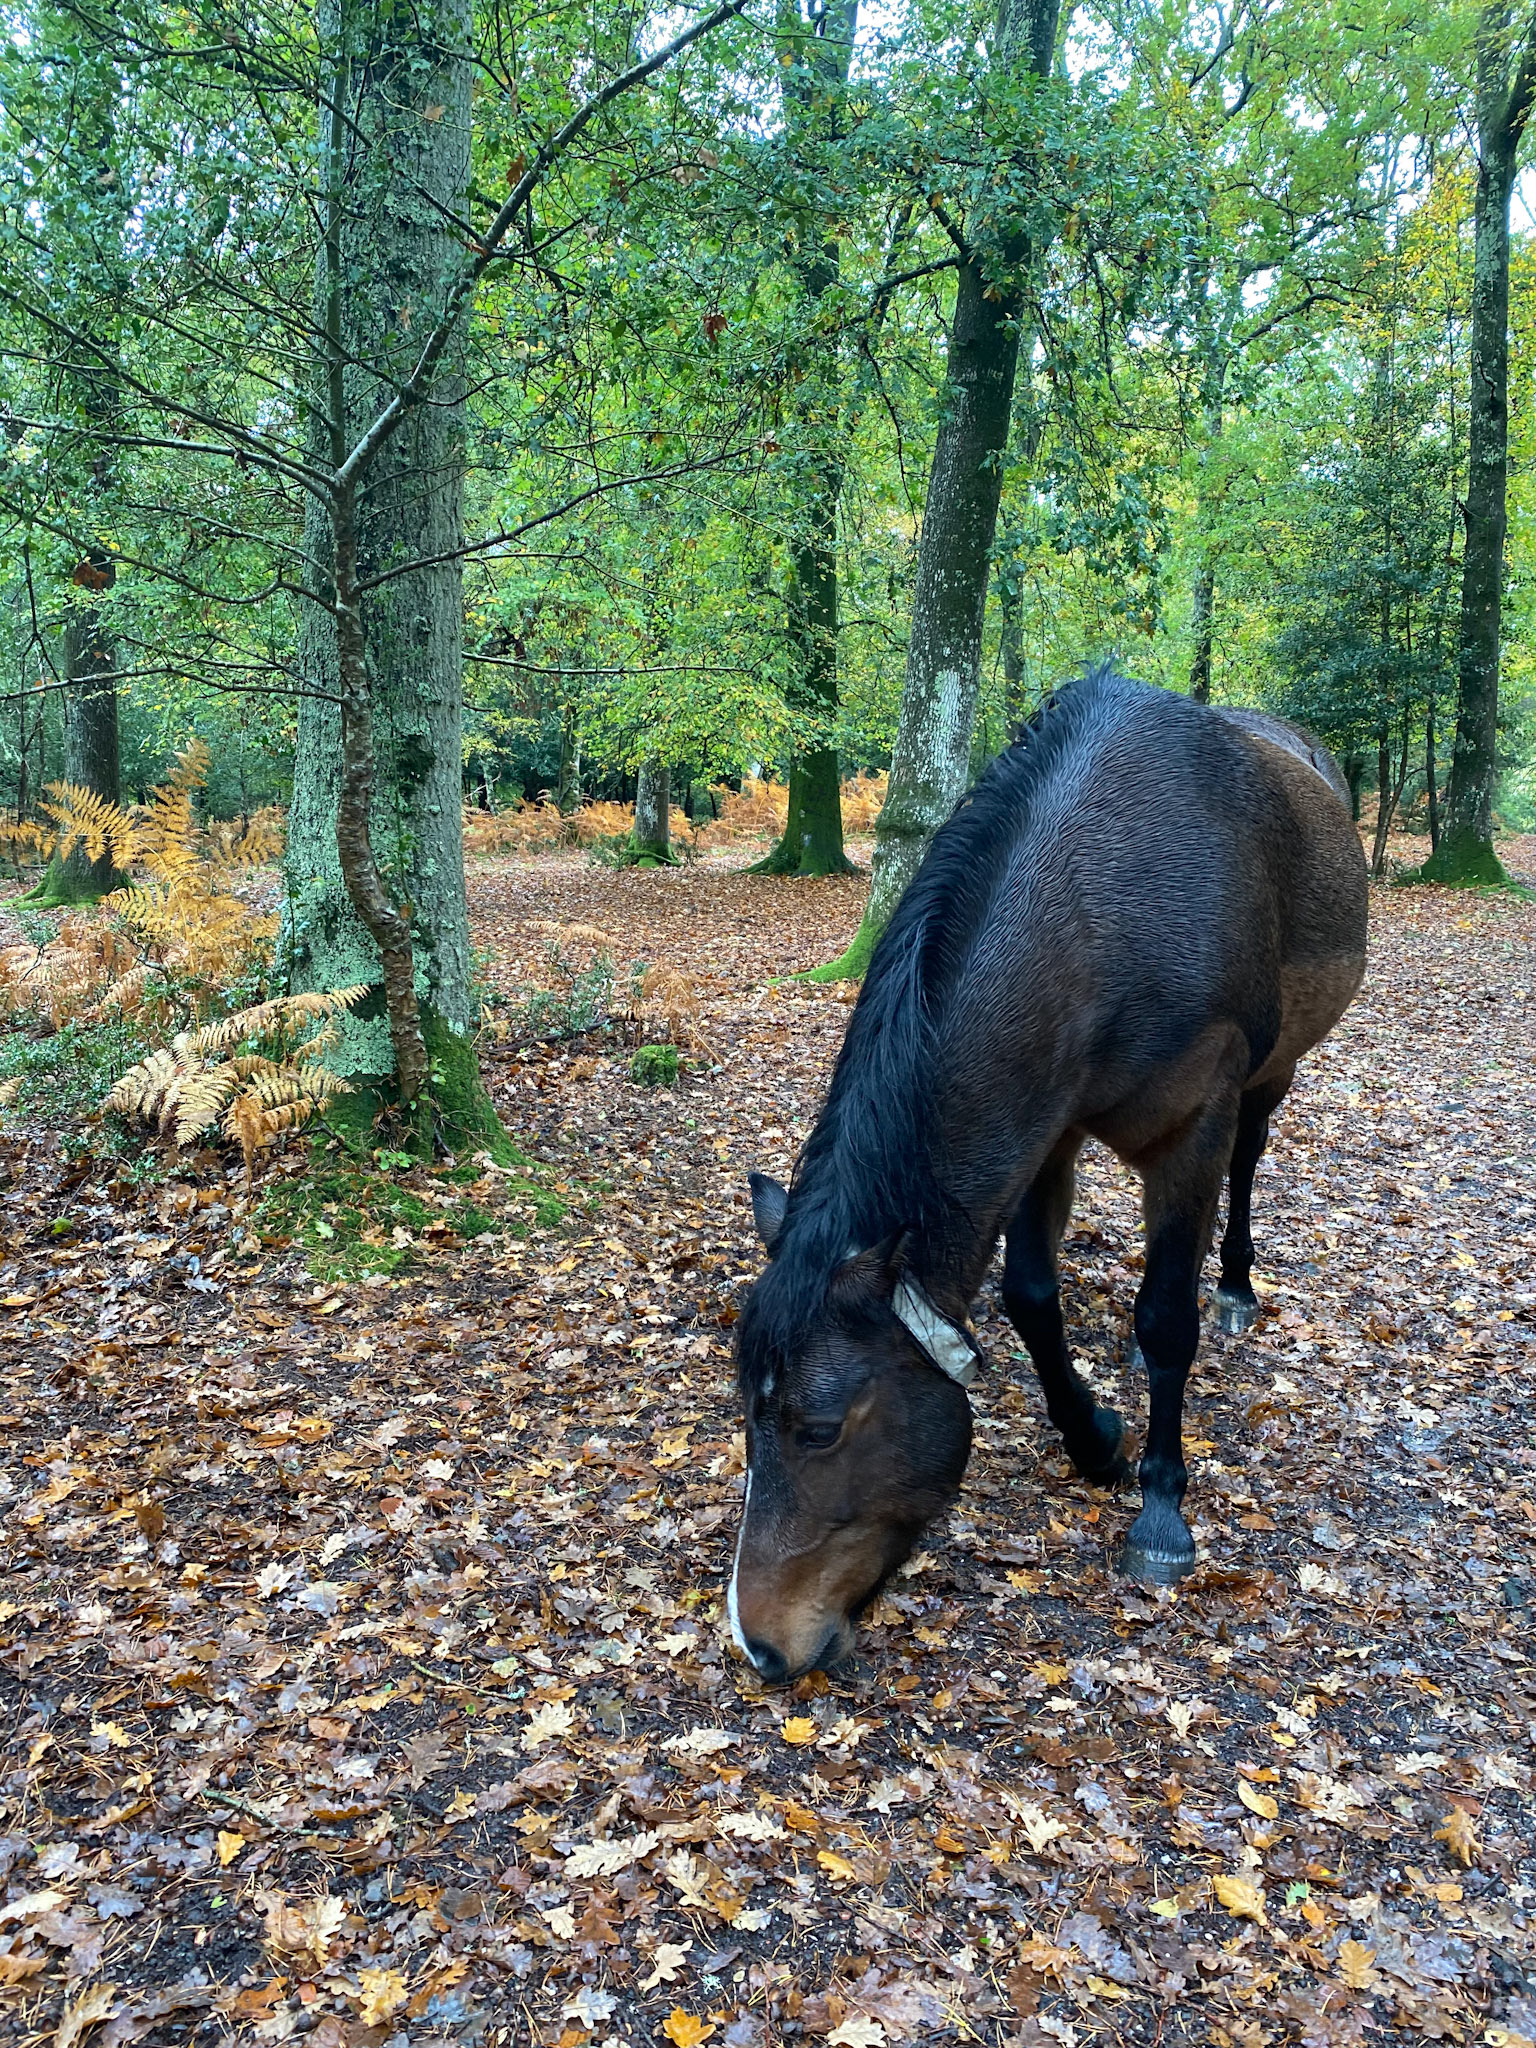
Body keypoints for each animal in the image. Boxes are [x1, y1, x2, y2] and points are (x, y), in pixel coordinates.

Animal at [728, 665, 1368, 1684]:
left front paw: (1158, 1506)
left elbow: (1166, 1317)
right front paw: (1095, 1438)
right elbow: (1030, 1296)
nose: (759, 1644)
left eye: (818, 1428)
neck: (1103, 912)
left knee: (1246, 1170)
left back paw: (1233, 1285)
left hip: (1270, 1078)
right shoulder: (1043, 1123)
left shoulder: (1196, 1123)